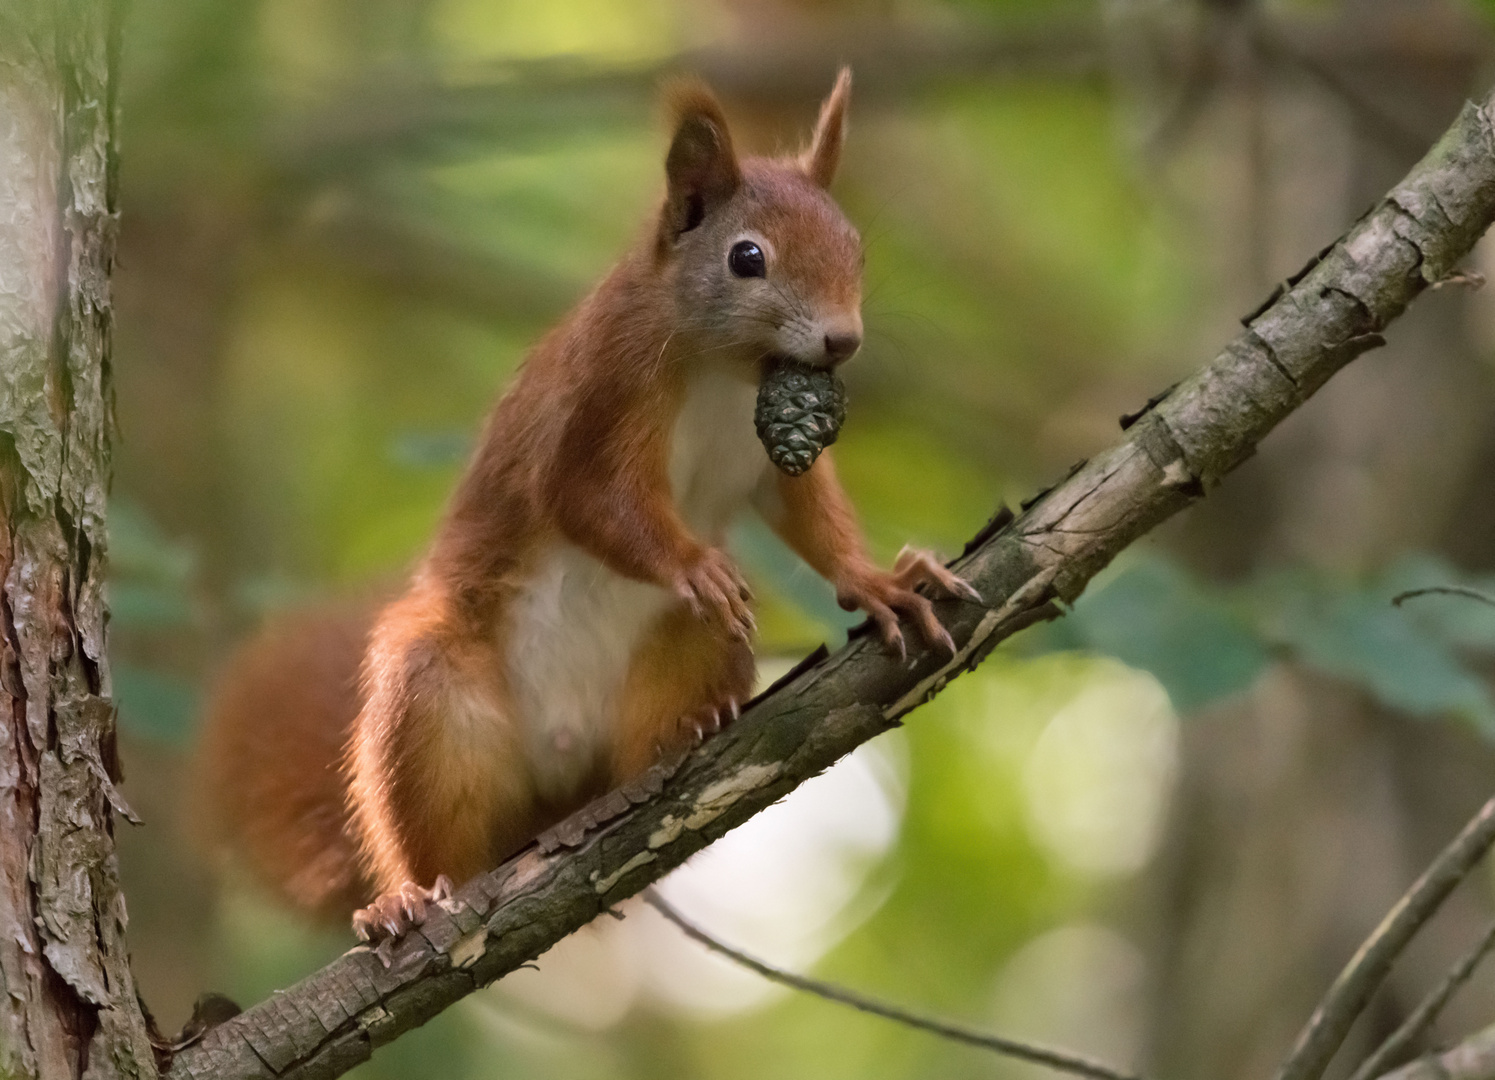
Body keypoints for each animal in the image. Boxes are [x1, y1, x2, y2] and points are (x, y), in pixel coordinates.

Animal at [192, 71, 974, 939]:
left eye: (856, 247)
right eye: (746, 258)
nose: (843, 341)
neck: (723, 371)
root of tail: (552, 782)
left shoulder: (770, 453)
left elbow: (804, 508)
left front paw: (877, 583)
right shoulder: (603, 391)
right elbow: (587, 501)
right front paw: (692, 563)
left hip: (684, 659)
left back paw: (687, 735)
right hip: (431, 702)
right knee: (431, 831)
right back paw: (404, 898)